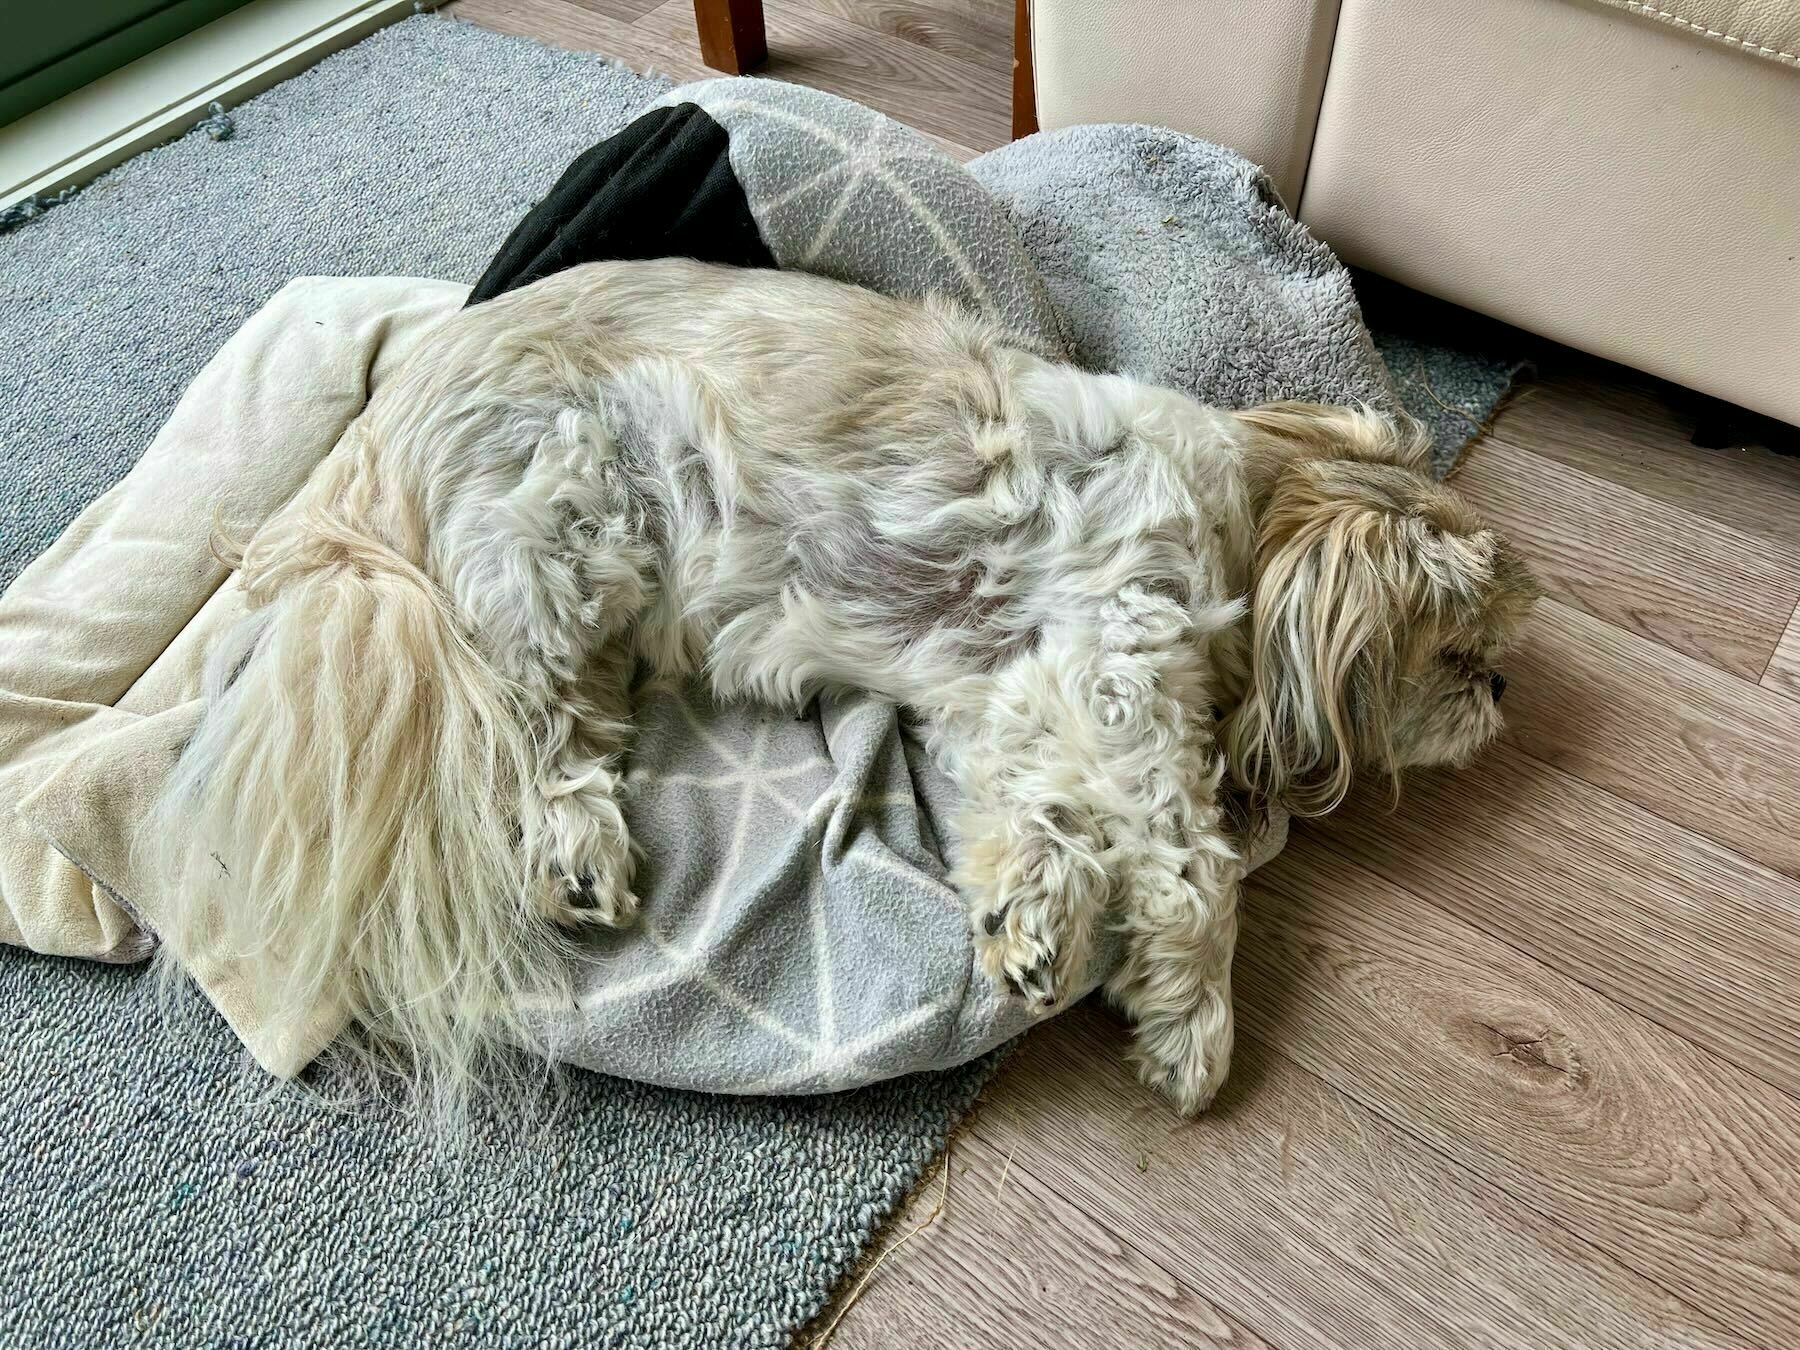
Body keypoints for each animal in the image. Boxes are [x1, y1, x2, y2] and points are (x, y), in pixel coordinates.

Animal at [147, 261, 1540, 1123]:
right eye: (1456, 651)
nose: (1503, 688)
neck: (1253, 519)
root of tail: (389, 425)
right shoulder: (1121, 668)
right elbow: (1192, 870)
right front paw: (1192, 1026)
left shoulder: (1018, 692)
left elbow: (1041, 822)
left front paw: (1032, 924)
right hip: (563, 523)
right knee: (535, 729)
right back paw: (577, 846)